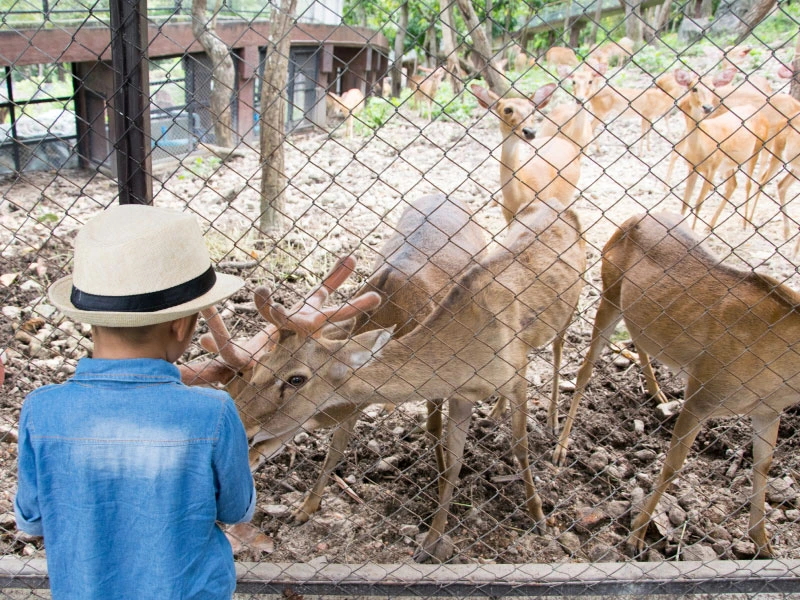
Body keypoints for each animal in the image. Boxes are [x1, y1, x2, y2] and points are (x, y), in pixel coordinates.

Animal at [234, 198, 584, 564]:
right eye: (262, 364)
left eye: (296, 378)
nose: (241, 421)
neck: (469, 351)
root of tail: (556, 202)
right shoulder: (461, 394)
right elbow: (454, 461)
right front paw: (430, 542)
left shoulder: (515, 374)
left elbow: (521, 447)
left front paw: (539, 517)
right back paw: (496, 413)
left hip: (573, 308)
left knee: (562, 348)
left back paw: (555, 428)